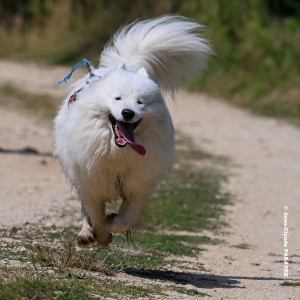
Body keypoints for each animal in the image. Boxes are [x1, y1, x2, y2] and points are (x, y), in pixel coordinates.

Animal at [54, 14, 213, 248]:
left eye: (140, 102)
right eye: (117, 98)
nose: (128, 113)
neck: (118, 153)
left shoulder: (139, 184)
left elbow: (127, 218)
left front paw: (113, 223)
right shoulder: (92, 182)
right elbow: (95, 215)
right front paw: (101, 236)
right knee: (85, 211)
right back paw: (85, 235)